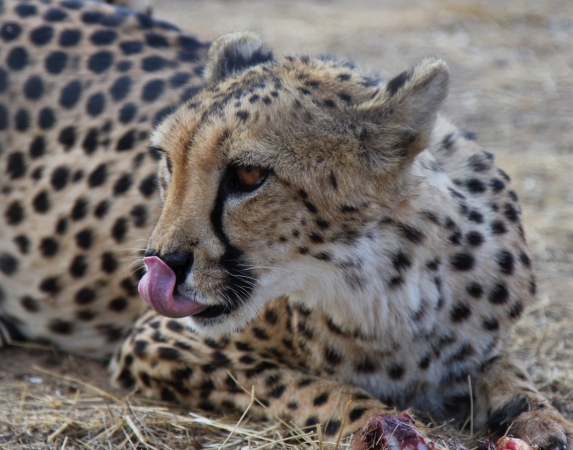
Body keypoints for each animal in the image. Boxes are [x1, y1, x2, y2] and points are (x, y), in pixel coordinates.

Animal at [0, 1, 568, 448]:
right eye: (168, 162)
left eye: (249, 175)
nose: (160, 265)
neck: (386, 280)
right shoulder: (156, 341)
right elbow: (314, 390)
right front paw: (383, 427)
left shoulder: (478, 344)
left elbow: (510, 372)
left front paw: (540, 420)